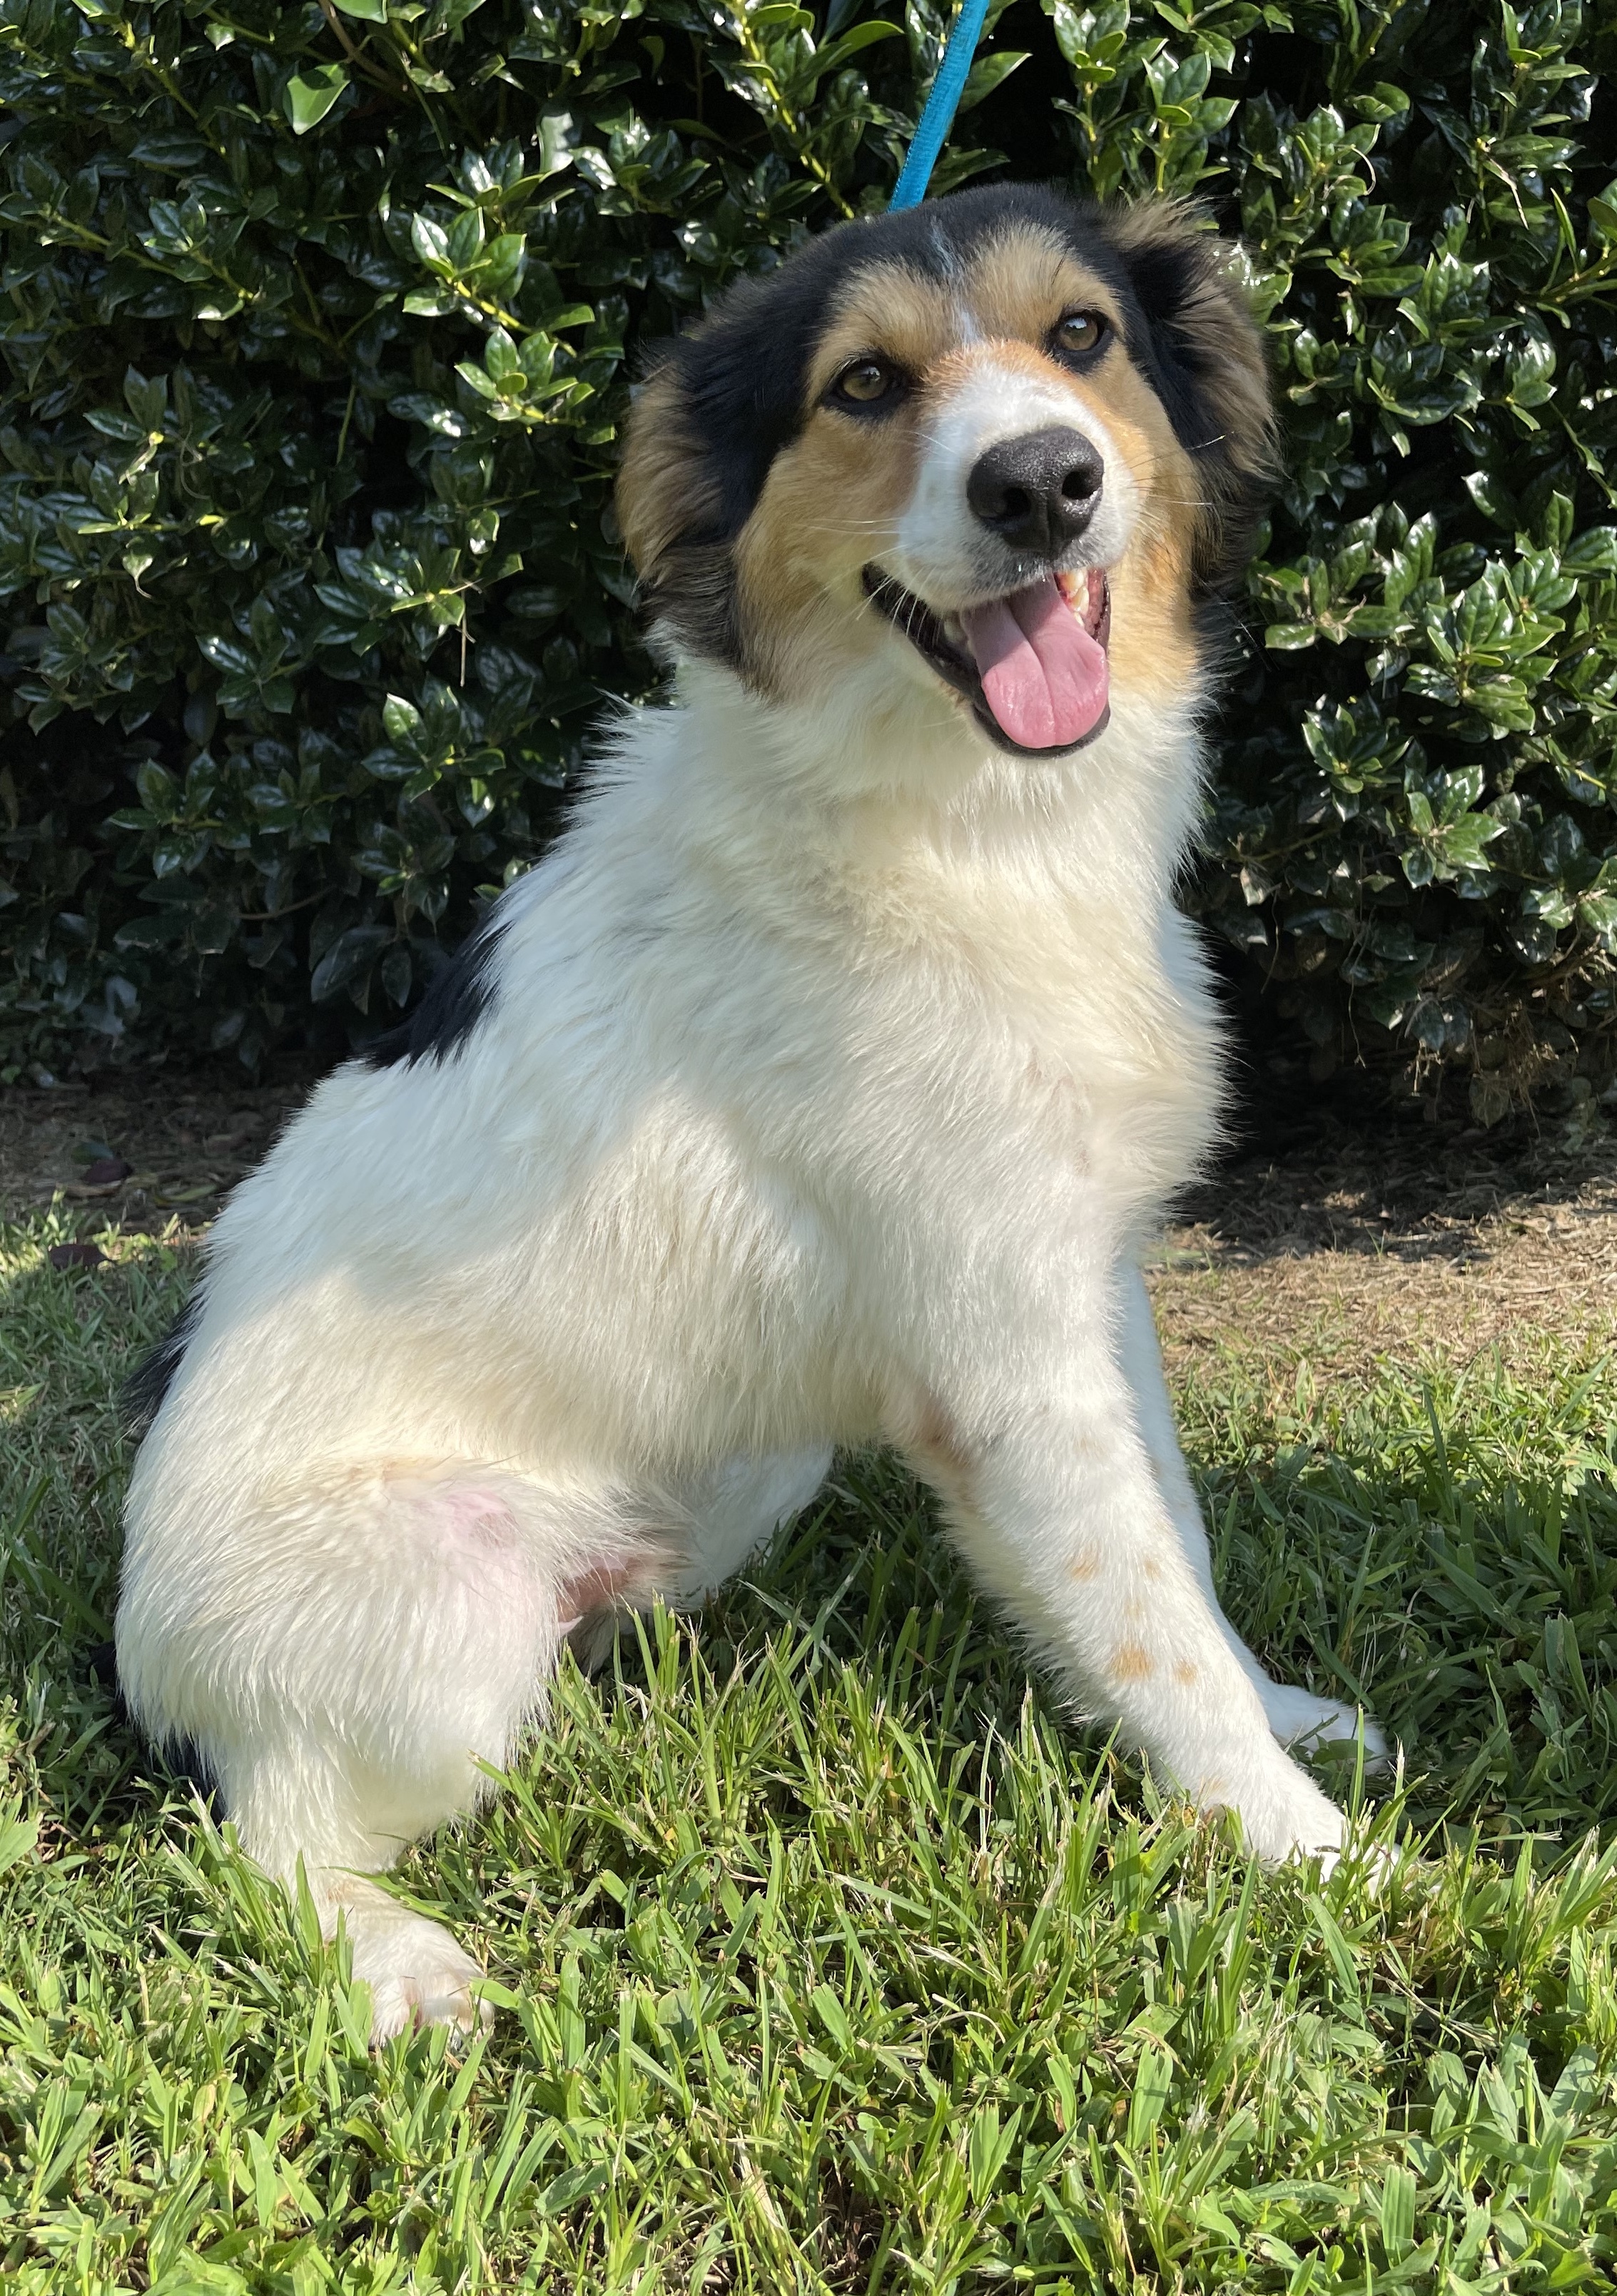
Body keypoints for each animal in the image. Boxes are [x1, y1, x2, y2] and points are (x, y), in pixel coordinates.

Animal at [113, 188, 1387, 2038]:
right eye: (861, 382)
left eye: (1079, 335)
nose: (1040, 484)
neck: (969, 827)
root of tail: (136, 1655)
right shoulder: (1001, 1362)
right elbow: (1141, 1617)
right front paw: (1309, 1850)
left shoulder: (1088, 1287)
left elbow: (1183, 1543)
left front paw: (1285, 1722)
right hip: (451, 1596)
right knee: (260, 1838)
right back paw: (398, 1954)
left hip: (741, 1469)